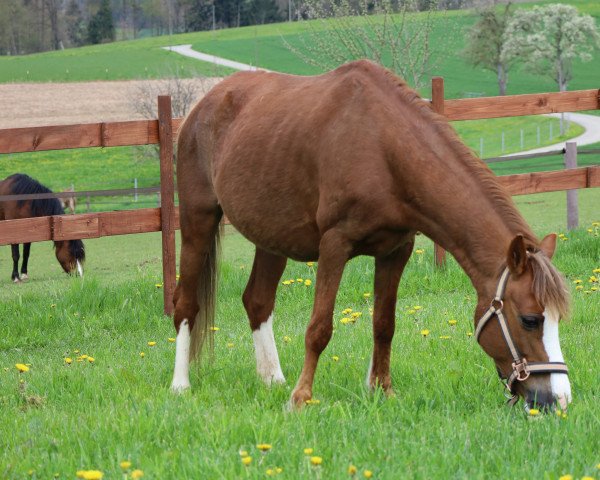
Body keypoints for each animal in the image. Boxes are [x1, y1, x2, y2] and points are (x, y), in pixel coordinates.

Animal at [172, 60, 572, 410]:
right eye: (531, 320)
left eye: (557, 319)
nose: (559, 399)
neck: (383, 148)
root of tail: (201, 105)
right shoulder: (334, 245)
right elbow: (319, 328)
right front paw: (301, 399)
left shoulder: (396, 249)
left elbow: (384, 324)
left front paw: (382, 390)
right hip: (197, 222)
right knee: (186, 305)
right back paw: (181, 385)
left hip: (271, 237)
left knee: (257, 300)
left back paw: (272, 379)